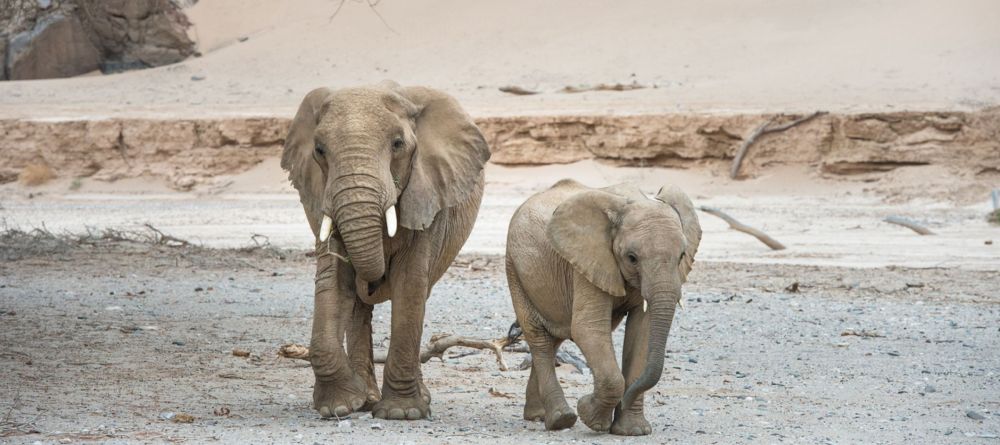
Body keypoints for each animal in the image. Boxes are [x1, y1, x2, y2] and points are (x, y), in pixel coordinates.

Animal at [281, 81, 490, 420]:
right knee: (358, 309)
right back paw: (365, 400)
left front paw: (401, 414)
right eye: (319, 150)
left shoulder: (427, 192)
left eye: (397, 144)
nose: (372, 283)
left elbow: (410, 285)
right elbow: (333, 282)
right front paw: (338, 407)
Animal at [505, 179, 701, 435]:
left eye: (681, 256)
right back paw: (561, 420)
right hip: (514, 268)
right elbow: (587, 329)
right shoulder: (586, 262)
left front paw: (632, 431)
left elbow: (642, 332)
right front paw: (590, 416)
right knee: (539, 338)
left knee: (554, 339)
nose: (626, 400)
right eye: (631, 258)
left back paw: (537, 416)